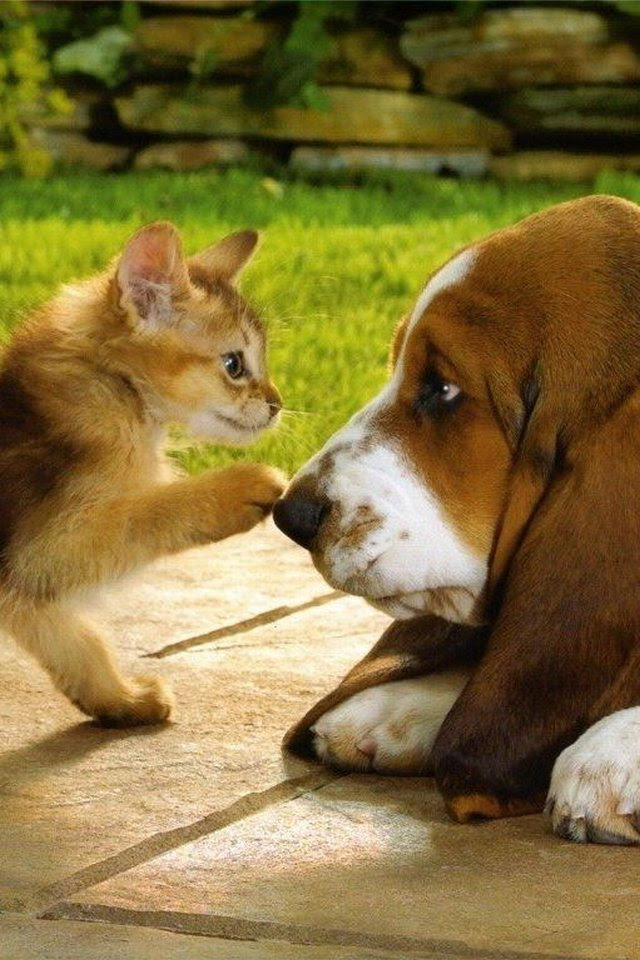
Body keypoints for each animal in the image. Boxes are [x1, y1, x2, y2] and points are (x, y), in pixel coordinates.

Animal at [0, 219, 286, 728]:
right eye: (234, 364)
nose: (277, 404)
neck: (113, 383)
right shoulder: (41, 547)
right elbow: (145, 512)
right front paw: (239, 487)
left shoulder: (24, 582)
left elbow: (77, 640)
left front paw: (120, 700)